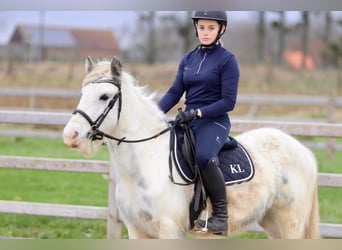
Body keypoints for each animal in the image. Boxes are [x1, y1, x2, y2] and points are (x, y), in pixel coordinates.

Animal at [63, 56, 320, 238]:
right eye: (83, 93)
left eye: (104, 96)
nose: (70, 135)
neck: (144, 163)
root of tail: (302, 151)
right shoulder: (137, 231)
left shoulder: (168, 230)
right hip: (272, 221)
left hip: (291, 224)